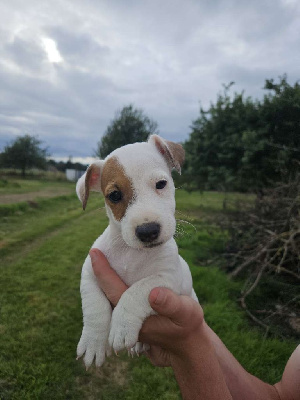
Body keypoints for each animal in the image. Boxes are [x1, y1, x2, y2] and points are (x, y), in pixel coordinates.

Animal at [75, 135, 197, 368]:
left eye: (161, 184)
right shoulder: (89, 271)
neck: (131, 252)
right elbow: (95, 306)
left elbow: (136, 291)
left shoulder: (167, 279)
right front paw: (94, 341)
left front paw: (121, 326)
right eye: (114, 195)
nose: (148, 231)